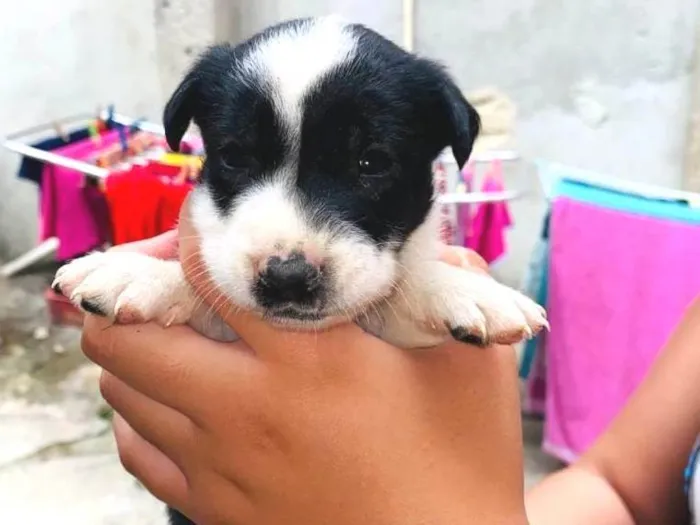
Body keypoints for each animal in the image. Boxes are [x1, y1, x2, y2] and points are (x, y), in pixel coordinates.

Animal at [54, 16, 548, 524]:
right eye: (234, 157)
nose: (287, 278)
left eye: (372, 162)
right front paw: (133, 273)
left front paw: (470, 292)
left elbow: (398, 290)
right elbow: (209, 282)